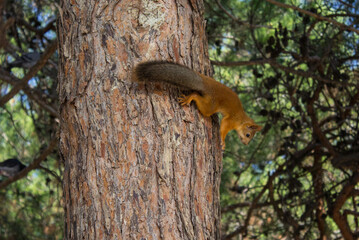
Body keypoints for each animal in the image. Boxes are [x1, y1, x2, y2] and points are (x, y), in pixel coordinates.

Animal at [132, 61, 262, 149]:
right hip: (209, 106)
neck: (241, 119)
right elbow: (224, 127)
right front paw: (223, 141)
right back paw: (190, 97)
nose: (245, 144)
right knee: (198, 98)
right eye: (248, 135)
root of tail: (205, 84)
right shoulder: (231, 120)